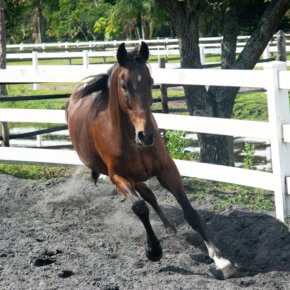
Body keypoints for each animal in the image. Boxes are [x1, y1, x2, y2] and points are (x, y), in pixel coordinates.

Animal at [65, 42, 236, 280]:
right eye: (124, 85)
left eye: (150, 81)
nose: (146, 135)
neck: (131, 138)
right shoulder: (118, 177)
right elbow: (139, 207)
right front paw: (153, 250)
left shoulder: (167, 169)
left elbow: (190, 213)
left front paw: (221, 260)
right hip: (129, 178)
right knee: (145, 197)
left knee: (150, 195)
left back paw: (170, 226)